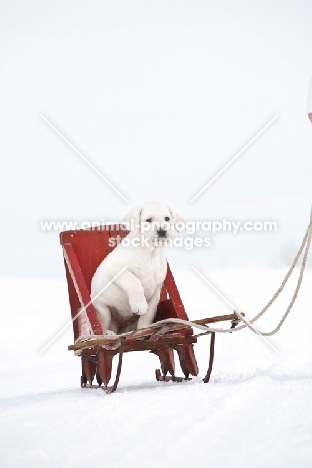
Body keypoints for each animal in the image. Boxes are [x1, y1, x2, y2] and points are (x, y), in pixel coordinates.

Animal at [90, 199, 182, 334]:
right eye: (148, 220)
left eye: (167, 218)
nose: (162, 231)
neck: (150, 253)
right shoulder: (116, 270)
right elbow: (134, 282)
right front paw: (140, 305)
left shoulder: (156, 293)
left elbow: (147, 316)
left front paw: (144, 329)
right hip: (103, 310)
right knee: (103, 325)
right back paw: (107, 333)